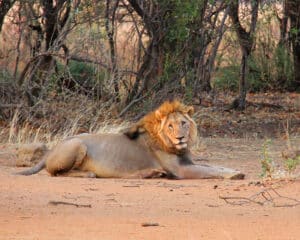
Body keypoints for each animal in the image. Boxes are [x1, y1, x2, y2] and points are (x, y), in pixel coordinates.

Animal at [15, 100, 244, 179]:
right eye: (170, 126)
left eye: (183, 123)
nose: (180, 137)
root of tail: (52, 150)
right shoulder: (181, 170)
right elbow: (209, 170)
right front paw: (234, 175)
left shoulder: (188, 162)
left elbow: (214, 166)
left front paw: (235, 170)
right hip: (78, 144)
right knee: (57, 173)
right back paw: (90, 174)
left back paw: (150, 173)